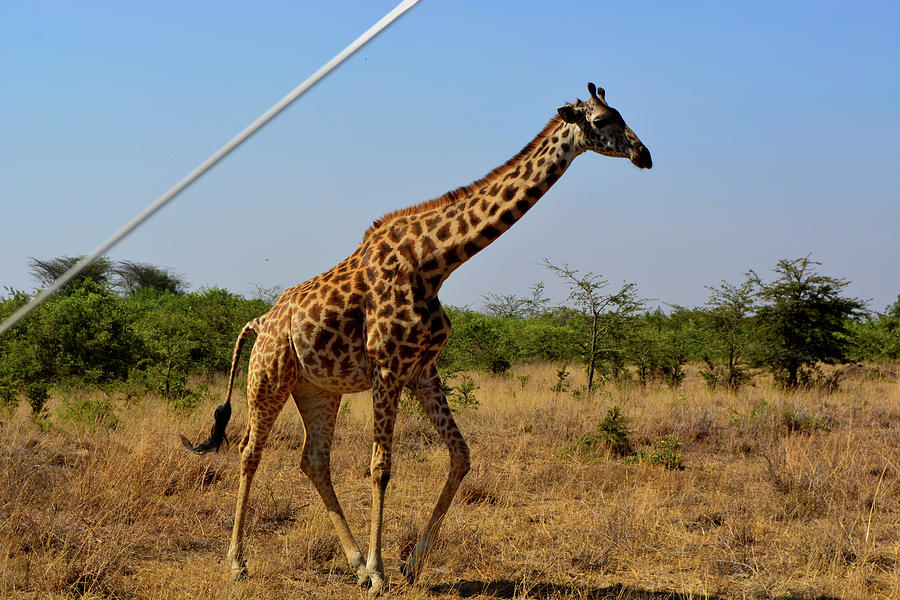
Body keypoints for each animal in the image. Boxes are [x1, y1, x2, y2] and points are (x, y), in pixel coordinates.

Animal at [183, 82, 648, 592]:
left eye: (621, 113)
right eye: (602, 120)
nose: (644, 154)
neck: (435, 262)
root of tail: (260, 321)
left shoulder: (422, 369)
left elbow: (461, 455)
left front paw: (410, 563)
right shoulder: (387, 368)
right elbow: (381, 468)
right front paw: (380, 572)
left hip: (318, 389)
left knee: (314, 459)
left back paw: (350, 562)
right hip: (268, 377)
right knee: (249, 452)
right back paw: (238, 562)